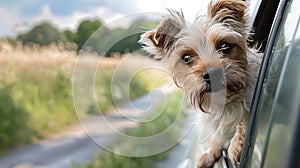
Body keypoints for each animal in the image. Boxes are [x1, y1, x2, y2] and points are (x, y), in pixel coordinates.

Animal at [139, 0, 262, 167]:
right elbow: (217, 136)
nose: (212, 74)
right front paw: (210, 153)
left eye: (224, 46)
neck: (228, 100)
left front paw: (236, 145)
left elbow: (246, 117)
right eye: (186, 57)